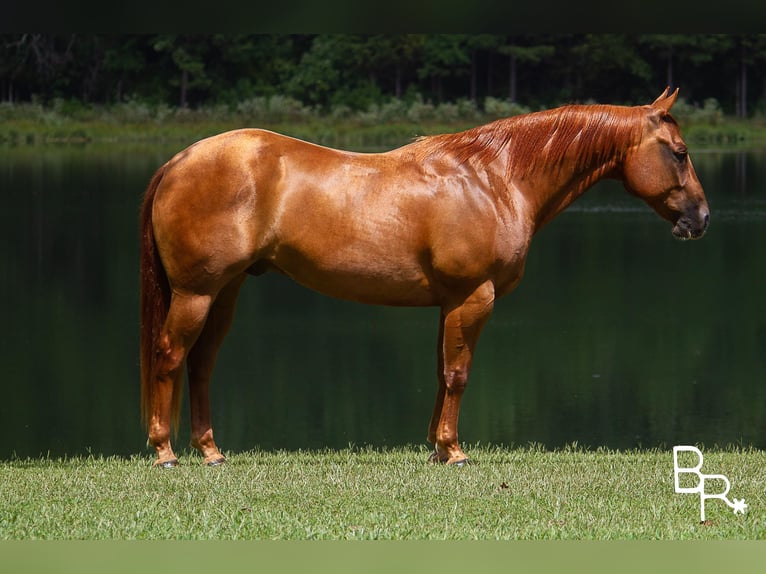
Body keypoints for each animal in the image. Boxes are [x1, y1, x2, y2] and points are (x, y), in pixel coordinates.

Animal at [138, 89, 708, 468]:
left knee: (202, 364)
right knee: (170, 355)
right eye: (679, 153)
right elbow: (458, 374)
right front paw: (453, 452)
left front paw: (436, 446)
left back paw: (211, 451)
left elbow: (441, 372)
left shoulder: (450, 303)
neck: (494, 178)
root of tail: (178, 160)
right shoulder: (474, 297)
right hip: (196, 293)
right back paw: (165, 452)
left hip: (225, 292)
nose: (700, 219)